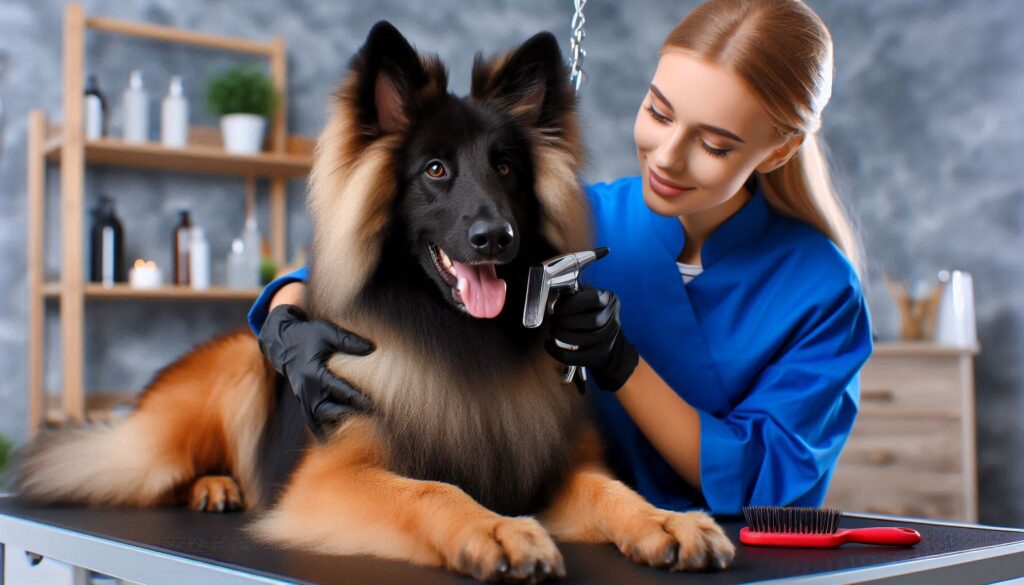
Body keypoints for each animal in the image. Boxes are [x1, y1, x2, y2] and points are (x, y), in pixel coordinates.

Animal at [18, 21, 737, 581]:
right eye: (436, 170)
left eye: (506, 167)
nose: (496, 237)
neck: (461, 336)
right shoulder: (330, 481)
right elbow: (431, 490)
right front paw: (496, 529)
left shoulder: (549, 473)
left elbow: (610, 488)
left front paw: (666, 519)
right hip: (234, 375)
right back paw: (215, 483)